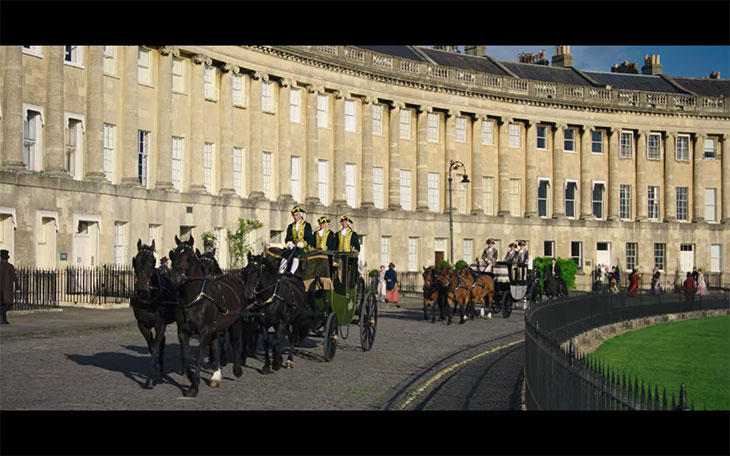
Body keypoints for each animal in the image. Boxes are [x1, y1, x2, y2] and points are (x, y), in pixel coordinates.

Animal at [131, 239, 178, 388]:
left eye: (152, 261)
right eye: (136, 260)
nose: (141, 288)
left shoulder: (160, 324)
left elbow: (155, 346)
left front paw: (150, 379)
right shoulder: (142, 324)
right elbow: (152, 347)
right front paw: (156, 371)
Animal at [168, 237, 247, 398]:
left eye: (188, 256)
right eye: (173, 254)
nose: (176, 277)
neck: (192, 298)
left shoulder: (204, 331)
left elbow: (199, 355)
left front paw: (194, 386)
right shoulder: (183, 331)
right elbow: (186, 357)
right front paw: (191, 378)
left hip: (235, 322)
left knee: (236, 342)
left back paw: (237, 369)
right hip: (216, 328)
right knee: (216, 347)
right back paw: (216, 376)